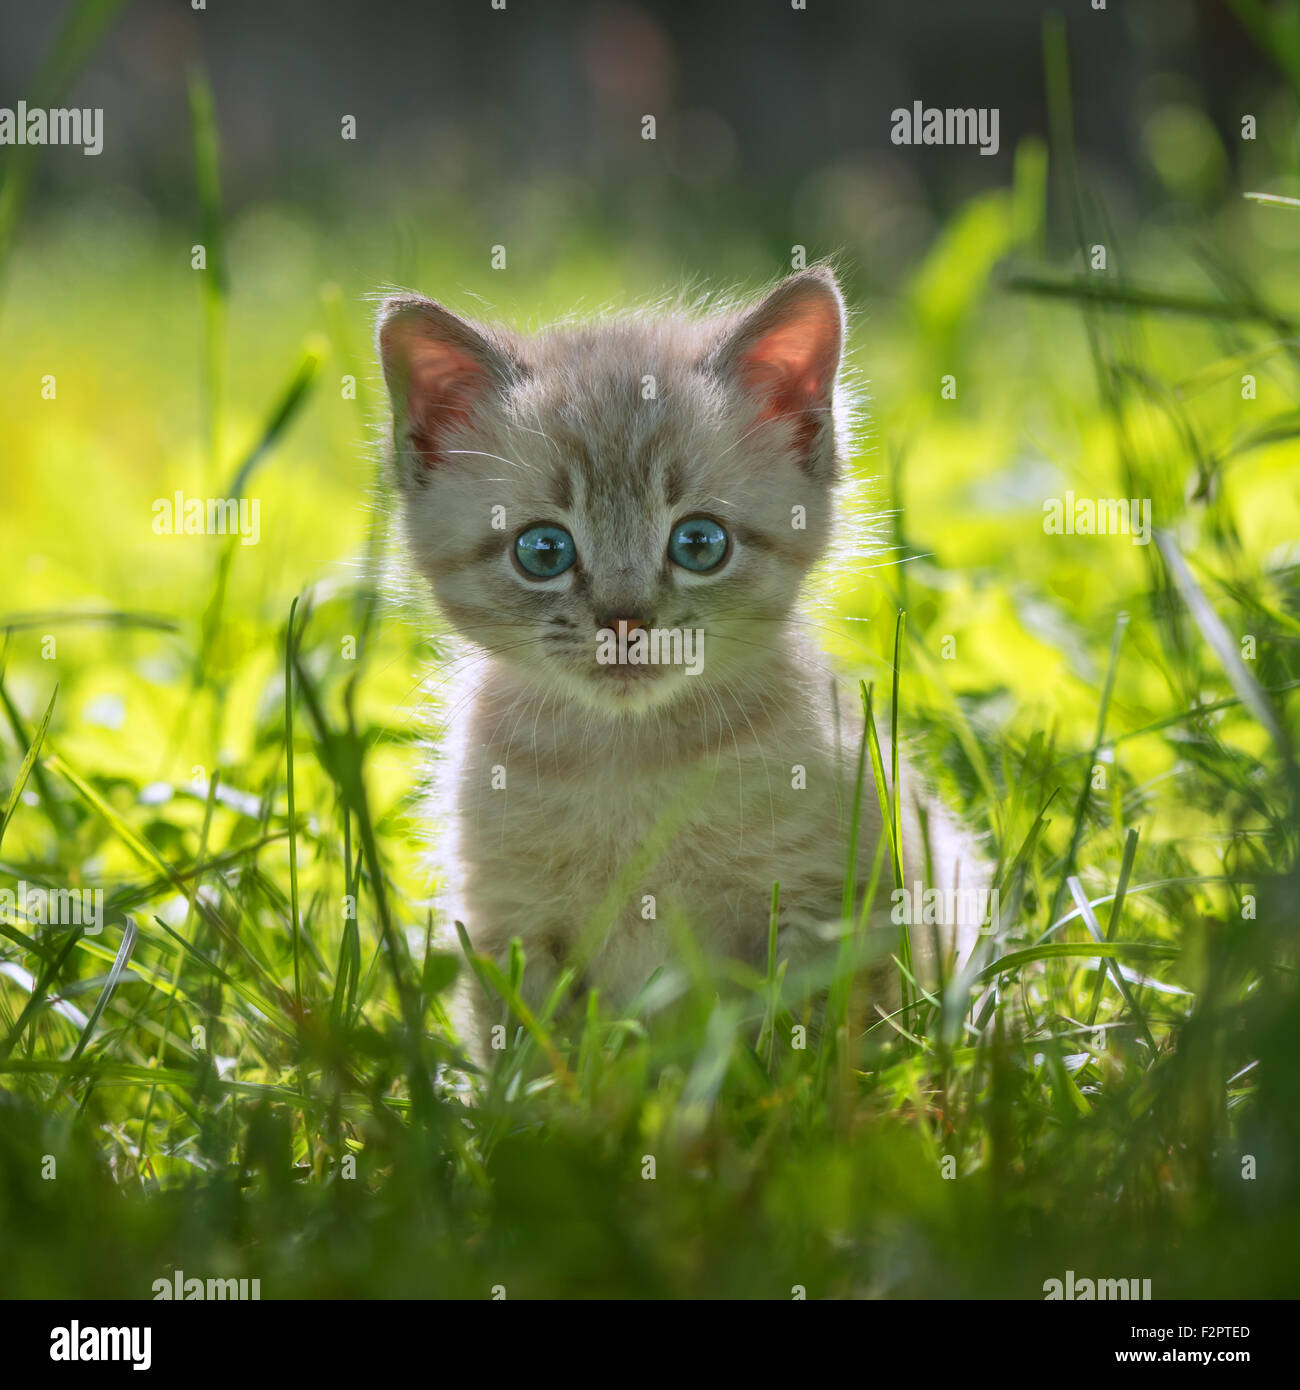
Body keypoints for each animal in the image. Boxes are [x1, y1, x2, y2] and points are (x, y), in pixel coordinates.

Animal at [380, 268, 978, 1050]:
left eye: (699, 544)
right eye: (543, 551)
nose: (624, 622)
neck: (633, 762)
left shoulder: (829, 901)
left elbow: (810, 1044)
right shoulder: (507, 923)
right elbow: (535, 1058)